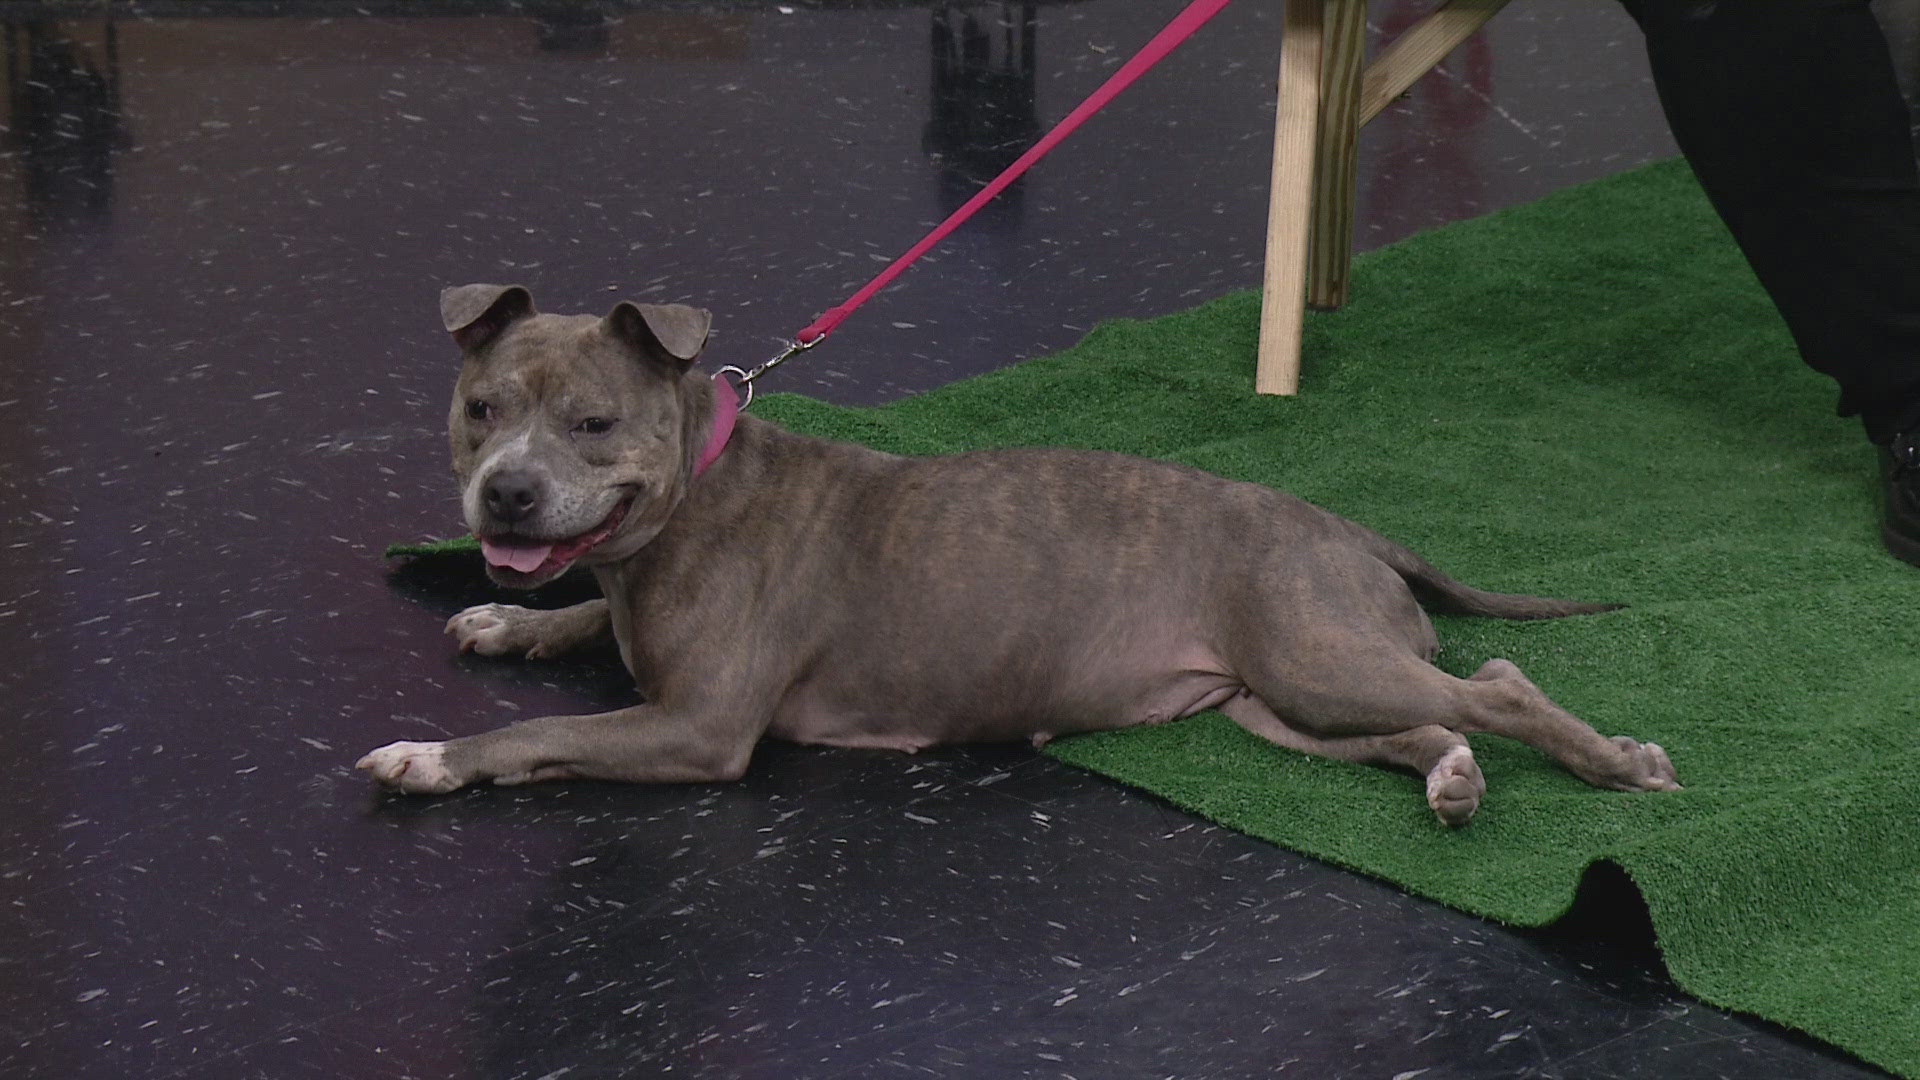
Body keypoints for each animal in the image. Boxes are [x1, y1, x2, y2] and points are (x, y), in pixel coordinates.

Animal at [360, 282, 1681, 818]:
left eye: (591, 423)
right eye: (480, 408)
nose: (505, 493)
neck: (687, 501)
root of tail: (1343, 526)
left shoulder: (696, 727)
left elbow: (536, 738)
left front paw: (433, 755)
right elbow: (582, 613)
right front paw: (513, 620)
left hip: (1317, 657)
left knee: (1496, 685)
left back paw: (1616, 763)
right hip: (1281, 700)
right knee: (1430, 723)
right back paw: (1452, 778)